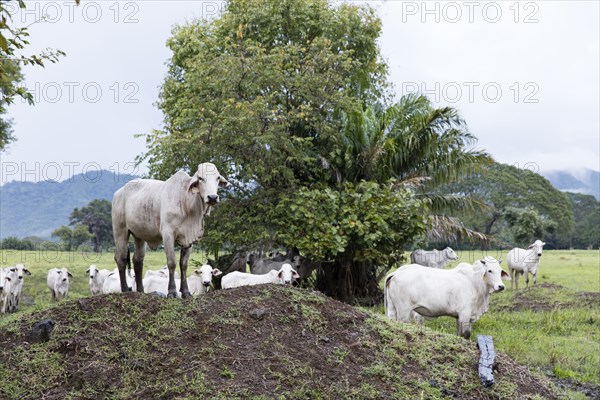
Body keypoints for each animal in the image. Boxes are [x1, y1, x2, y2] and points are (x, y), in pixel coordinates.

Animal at [112, 162, 227, 296]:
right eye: (200, 178)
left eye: (217, 178)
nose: (212, 197)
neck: (185, 202)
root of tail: (119, 192)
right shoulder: (168, 235)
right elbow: (172, 262)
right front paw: (172, 291)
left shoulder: (189, 240)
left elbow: (183, 264)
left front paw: (185, 292)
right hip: (120, 231)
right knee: (121, 258)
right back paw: (125, 289)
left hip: (139, 236)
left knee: (137, 260)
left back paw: (141, 291)